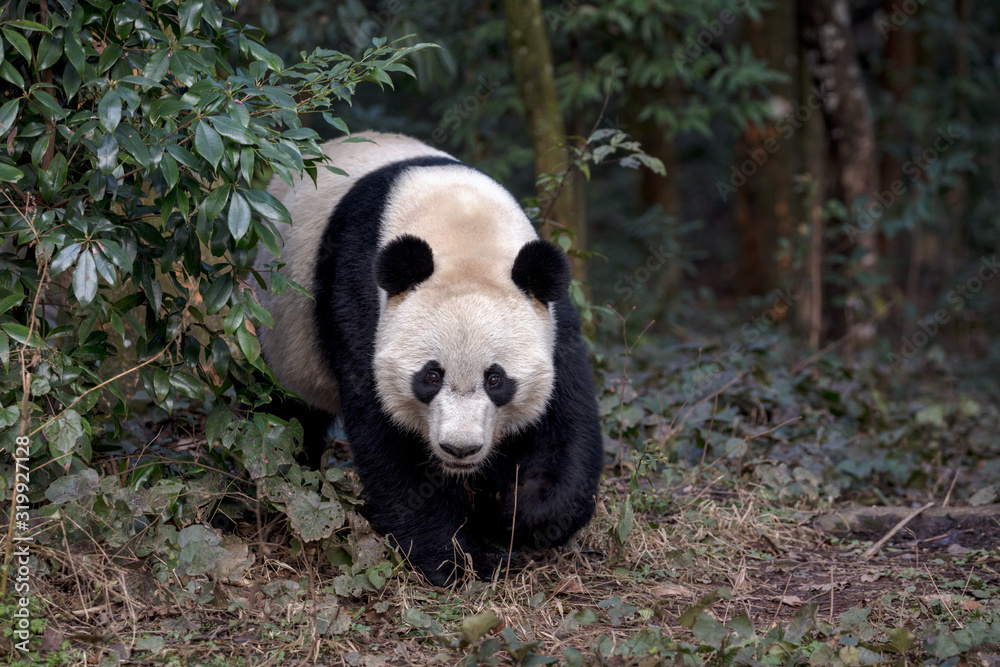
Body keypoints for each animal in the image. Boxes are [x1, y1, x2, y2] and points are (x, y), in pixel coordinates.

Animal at [254, 132, 604, 586]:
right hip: (280, 328)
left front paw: (506, 514)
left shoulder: (550, 315)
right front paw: (457, 561)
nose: (460, 448)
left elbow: (563, 427)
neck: (464, 230)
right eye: (431, 376)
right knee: (285, 413)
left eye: (496, 379)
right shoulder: (362, 298)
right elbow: (390, 438)